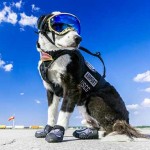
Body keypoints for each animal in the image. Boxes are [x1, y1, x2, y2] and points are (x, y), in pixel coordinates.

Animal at [34, 11, 147, 142]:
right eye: (58, 26)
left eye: (75, 28)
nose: (78, 38)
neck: (53, 54)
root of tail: (126, 120)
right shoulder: (51, 90)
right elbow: (51, 112)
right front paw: (47, 129)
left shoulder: (72, 89)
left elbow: (63, 111)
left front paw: (57, 131)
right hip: (82, 103)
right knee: (97, 125)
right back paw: (86, 132)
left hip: (93, 99)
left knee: (113, 128)